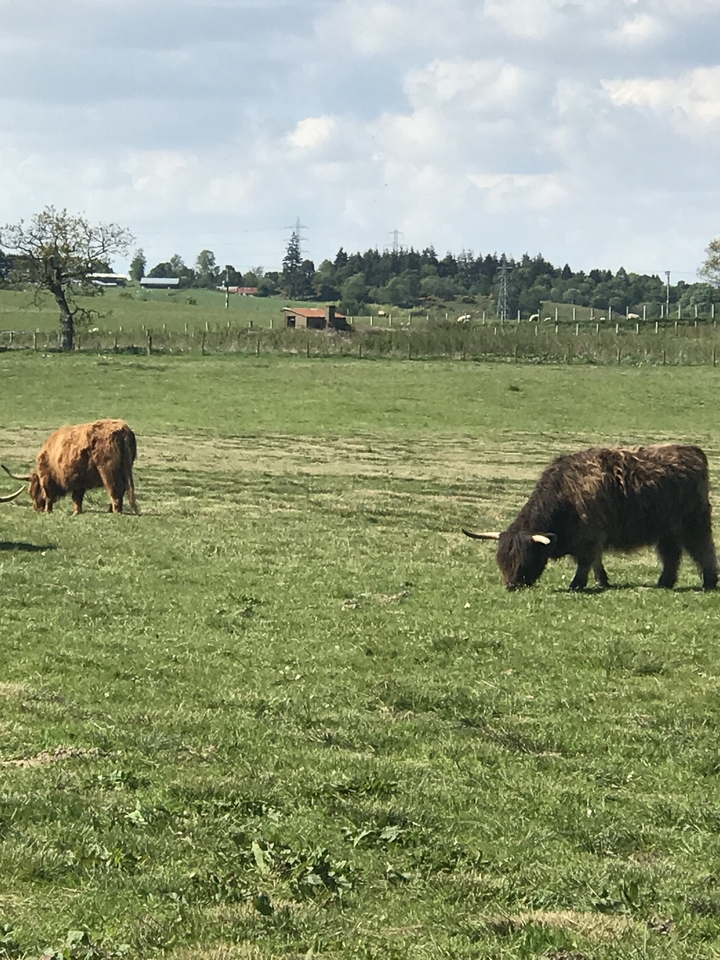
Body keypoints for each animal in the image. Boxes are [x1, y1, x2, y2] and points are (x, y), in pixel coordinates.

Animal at [2, 419, 139, 515]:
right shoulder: (80, 480)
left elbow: (50, 496)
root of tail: (122, 430)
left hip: (108, 471)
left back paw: (115, 512)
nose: (36, 508)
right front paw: (77, 511)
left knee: (115, 492)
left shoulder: (49, 479)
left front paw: (48, 510)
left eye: (33, 491)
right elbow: (77, 498)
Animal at [463, 444, 718, 591]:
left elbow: (586, 561)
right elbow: (596, 561)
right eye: (501, 561)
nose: (511, 586)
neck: (564, 494)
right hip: (666, 530)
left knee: (703, 550)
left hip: (693, 523)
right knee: (671, 555)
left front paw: (577, 584)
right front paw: (602, 580)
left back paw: (709, 582)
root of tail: (692, 451)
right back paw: (665, 582)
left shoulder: (591, 534)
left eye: (525, 559)